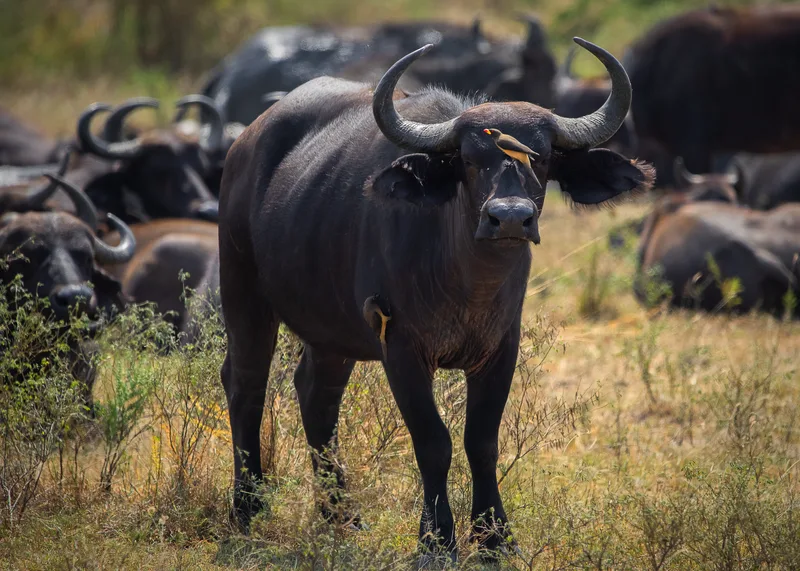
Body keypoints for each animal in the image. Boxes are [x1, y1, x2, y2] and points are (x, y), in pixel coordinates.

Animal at [218, 37, 652, 560]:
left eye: (543, 156)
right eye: (468, 158)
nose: (509, 218)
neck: (466, 282)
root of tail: (244, 143)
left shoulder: (500, 348)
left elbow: (481, 441)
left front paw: (495, 538)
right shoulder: (401, 348)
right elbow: (433, 442)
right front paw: (437, 539)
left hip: (331, 332)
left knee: (315, 394)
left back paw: (342, 516)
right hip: (242, 289)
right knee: (246, 382)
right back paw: (247, 507)